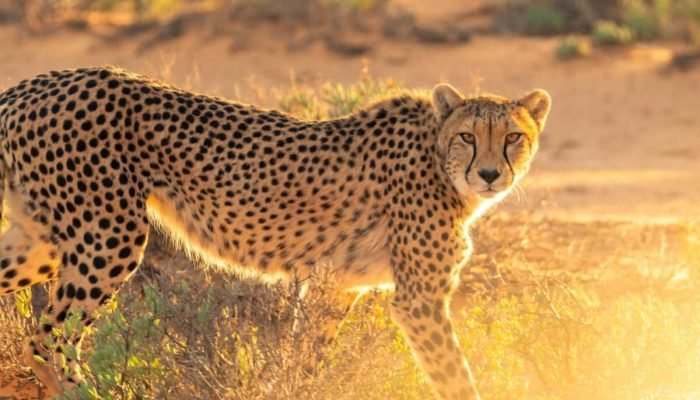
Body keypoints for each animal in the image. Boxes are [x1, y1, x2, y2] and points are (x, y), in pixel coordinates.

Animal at [0, 66, 550, 400]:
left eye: (513, 137)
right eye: (468, 137)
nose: (489, 174)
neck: (438, 158)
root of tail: (32, 84)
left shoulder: (334, 287)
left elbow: (304, 359)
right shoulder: (419, 299)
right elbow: (454, 375)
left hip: (46, 241)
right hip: (109, 235)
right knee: (50, 335)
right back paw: (86, 390)